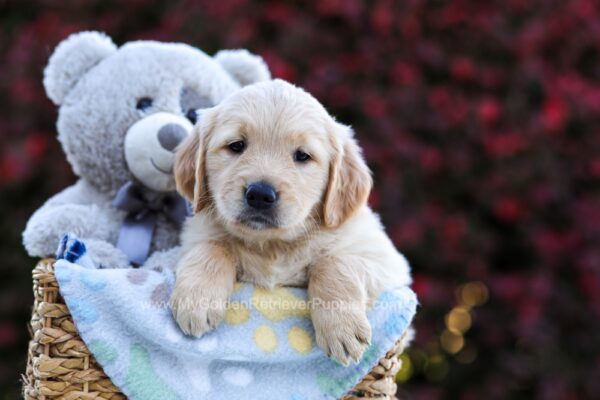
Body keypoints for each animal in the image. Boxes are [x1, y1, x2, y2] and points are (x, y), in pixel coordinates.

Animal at [169, 79, 412, 366]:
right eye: (236, 145)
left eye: (302, 156)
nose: (260, 194)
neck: (273, 245)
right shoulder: (195, 237)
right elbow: (213, 247)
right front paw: (196, 301)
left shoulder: (387, 263)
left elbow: (334, 263)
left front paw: (342, 328)